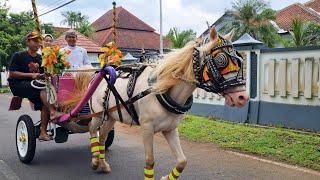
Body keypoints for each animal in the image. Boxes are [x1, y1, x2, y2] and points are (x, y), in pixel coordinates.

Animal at [67, 27, 248, 180]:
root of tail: (96, 75)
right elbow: (150, 161)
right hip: (97, 114)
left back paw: (103, 163)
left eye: (240, 59)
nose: (242, 97)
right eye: (221, 60)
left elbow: (182, 161)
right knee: (93, 130)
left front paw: (166, 177)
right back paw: (95, 160)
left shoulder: (170, 129)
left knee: (103, 136)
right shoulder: (147, 129)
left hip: (111, 115)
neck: (162, 89)